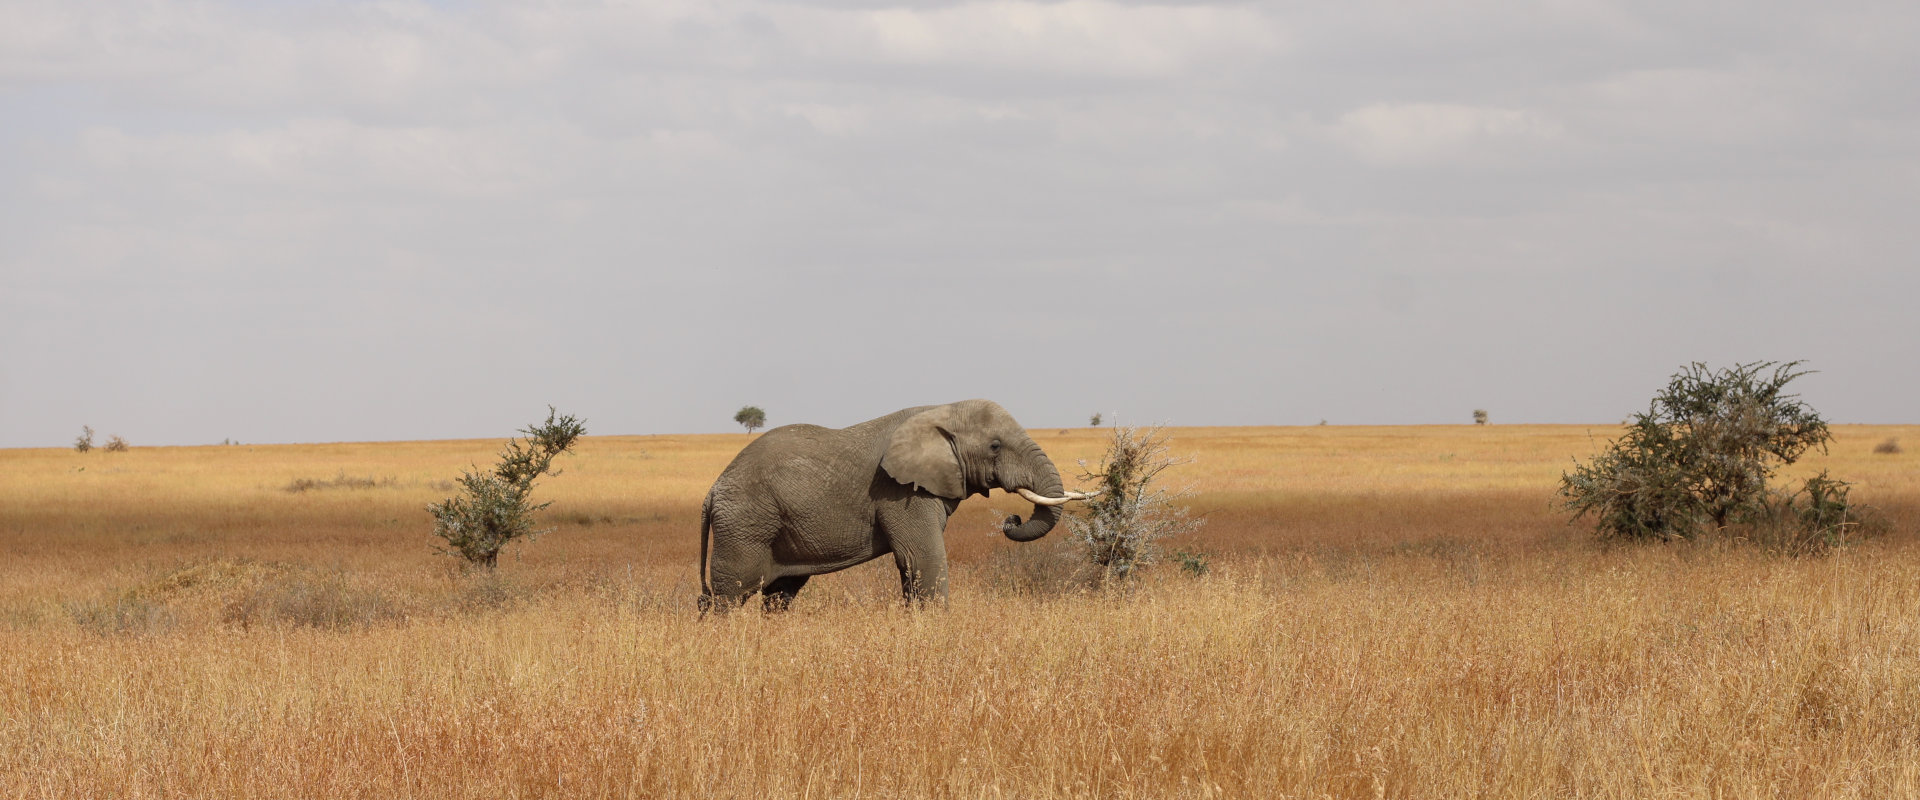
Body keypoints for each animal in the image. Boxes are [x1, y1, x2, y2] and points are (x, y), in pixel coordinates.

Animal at [702, 399, 1098, 610]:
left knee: (778, 594)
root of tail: (712, 491)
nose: (1011, 519)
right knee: (731, 591)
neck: (942, 411)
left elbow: (911, 565)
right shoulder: (900, 492)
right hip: (745, 523)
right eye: (995, 446)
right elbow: (922, 557)